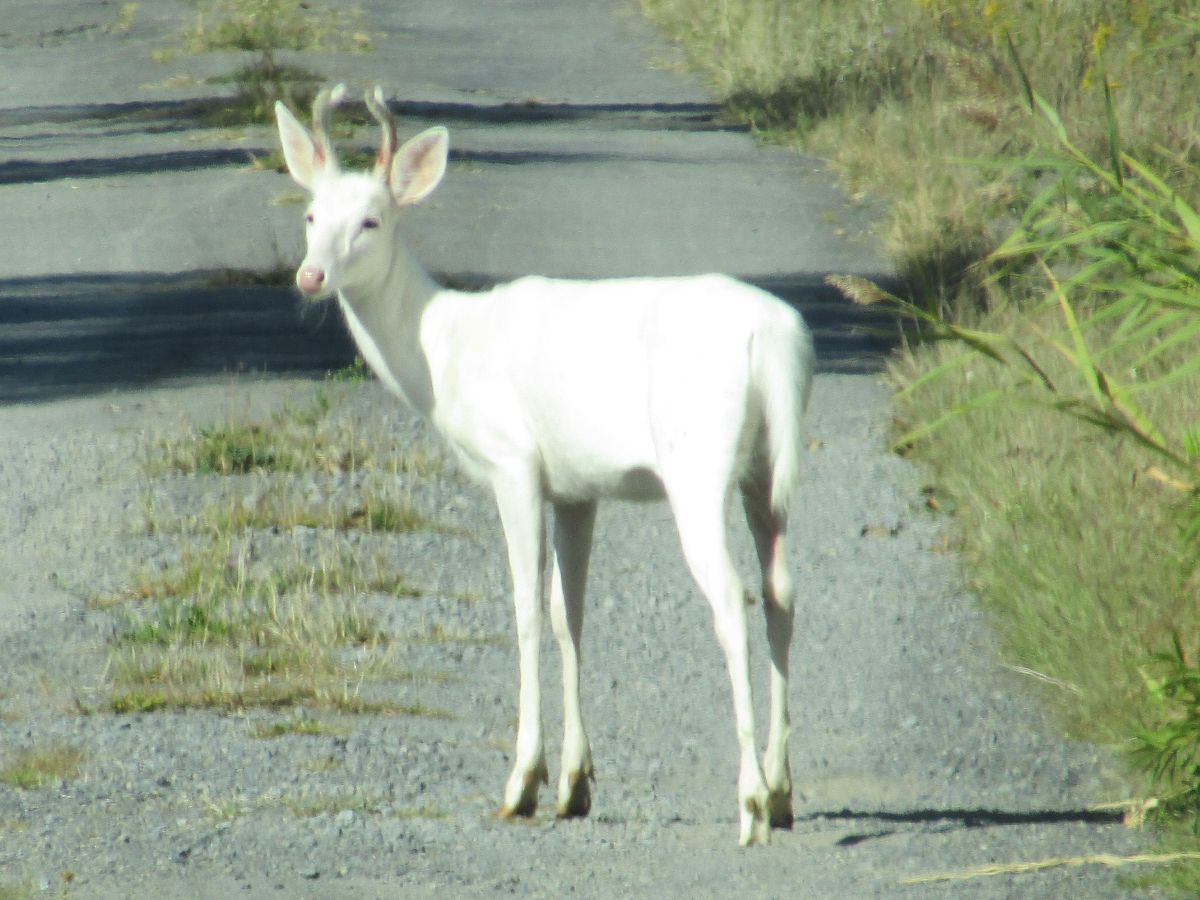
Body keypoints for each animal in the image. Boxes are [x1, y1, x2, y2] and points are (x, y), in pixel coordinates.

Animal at [274, 84, 815, 846]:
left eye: (372, 221)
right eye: (311, 214)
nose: (310, 275)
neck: (440, 353)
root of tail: (773, 339)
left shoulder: (514, 461)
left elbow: (527, 609)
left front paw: (523, 782)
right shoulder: (576, 487)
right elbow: (568, 613)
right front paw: (575, 784)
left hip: (698, 463)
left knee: (730, 600)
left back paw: (750, 806)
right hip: (765, 469)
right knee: (780, 592)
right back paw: (783, 789)